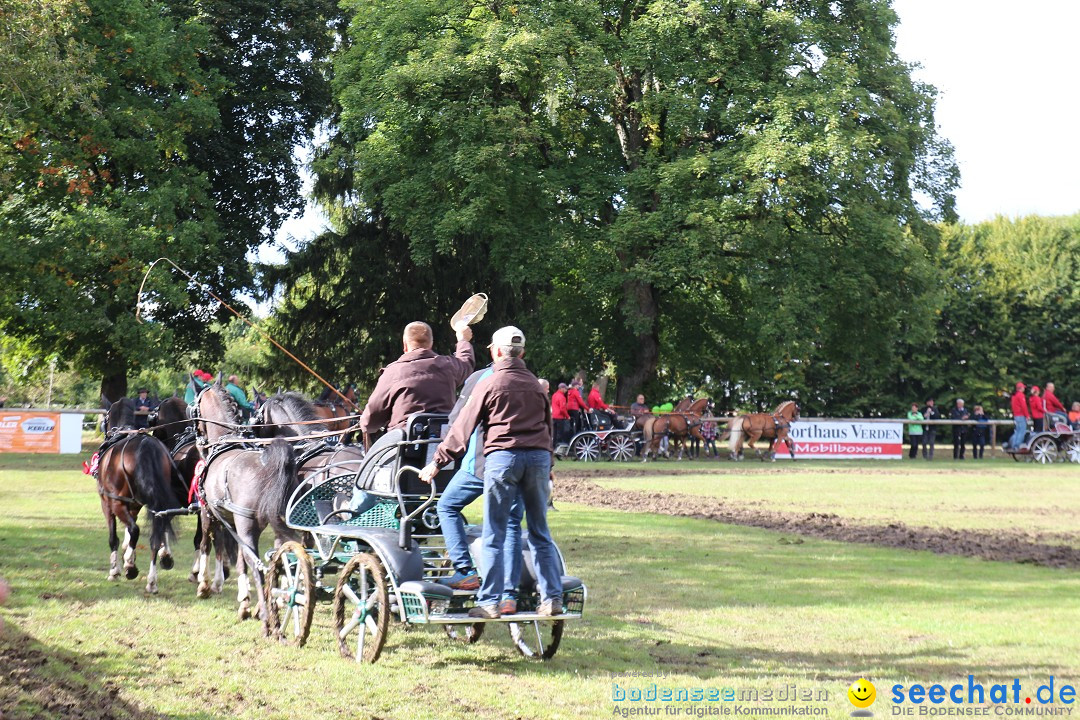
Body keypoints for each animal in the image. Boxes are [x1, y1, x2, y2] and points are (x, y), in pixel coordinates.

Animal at [97, 397, 185, 595]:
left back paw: (130, 567)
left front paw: (116, 569)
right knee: (155, 536)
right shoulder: (135, 504)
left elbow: (115, 537)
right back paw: (152, 581)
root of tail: (146, 445)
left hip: (116, 503)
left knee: (136, 529)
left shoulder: (108, 504)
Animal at [193, 382, 300, 626]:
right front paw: (244, 601)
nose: (198, 441)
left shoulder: (208, 512)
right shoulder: (231, 521)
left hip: (247, 525)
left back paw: (266, 615)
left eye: (194, 407)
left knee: (258, 566)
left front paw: (204, 585)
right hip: (279, 527)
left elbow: (206, 544)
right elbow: (240, 559)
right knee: (277, 561)